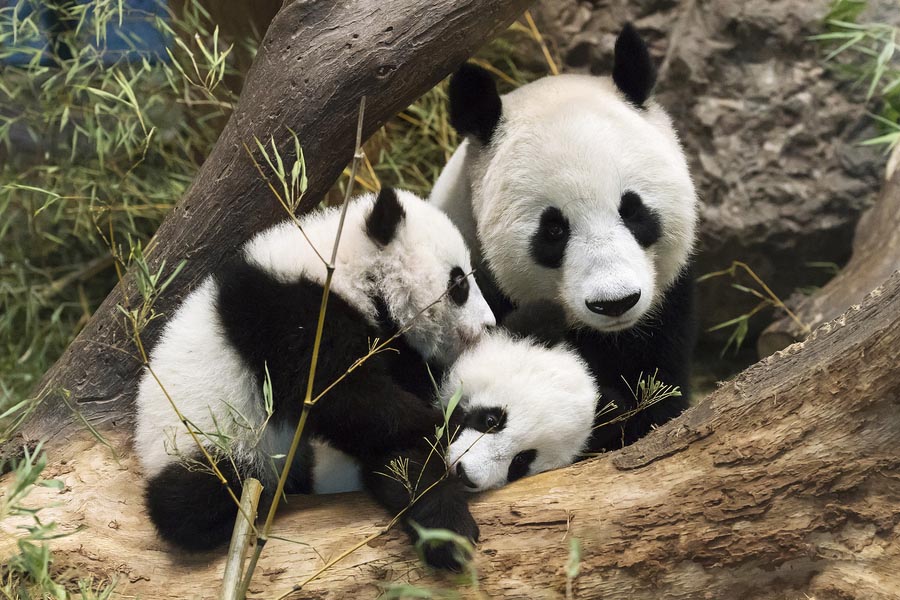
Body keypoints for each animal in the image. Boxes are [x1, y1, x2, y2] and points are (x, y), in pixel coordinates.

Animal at [134, 187, 494, 569]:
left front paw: (445, 530)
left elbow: (396, 451)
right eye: (459, 282)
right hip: (204, 438)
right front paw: (441, 421)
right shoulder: (293, 315)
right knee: (193, 499)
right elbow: (341, 398)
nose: (489, 325)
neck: (352, 270)